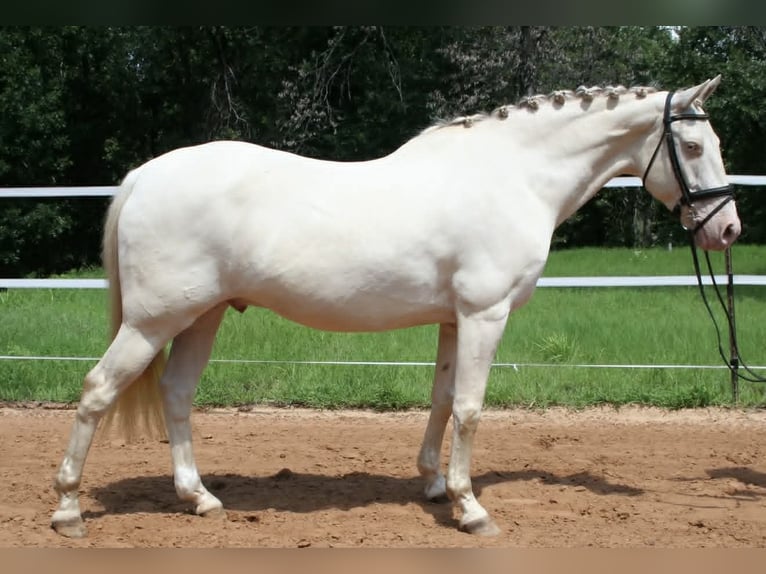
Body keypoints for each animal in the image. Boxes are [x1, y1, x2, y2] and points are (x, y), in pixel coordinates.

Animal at [51, 76, 740, 538]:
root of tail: (143, 176)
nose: (728, 229)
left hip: (205, 314)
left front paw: (435, 486)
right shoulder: (485, 314)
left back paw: (199, 498)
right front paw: (471, 508)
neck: (512, 175)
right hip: (153, 321)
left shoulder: (452, 320)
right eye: (694, 146)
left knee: (175, 393)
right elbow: (470, 408)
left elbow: (440, 399)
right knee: (96, 390)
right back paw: (67, 509)